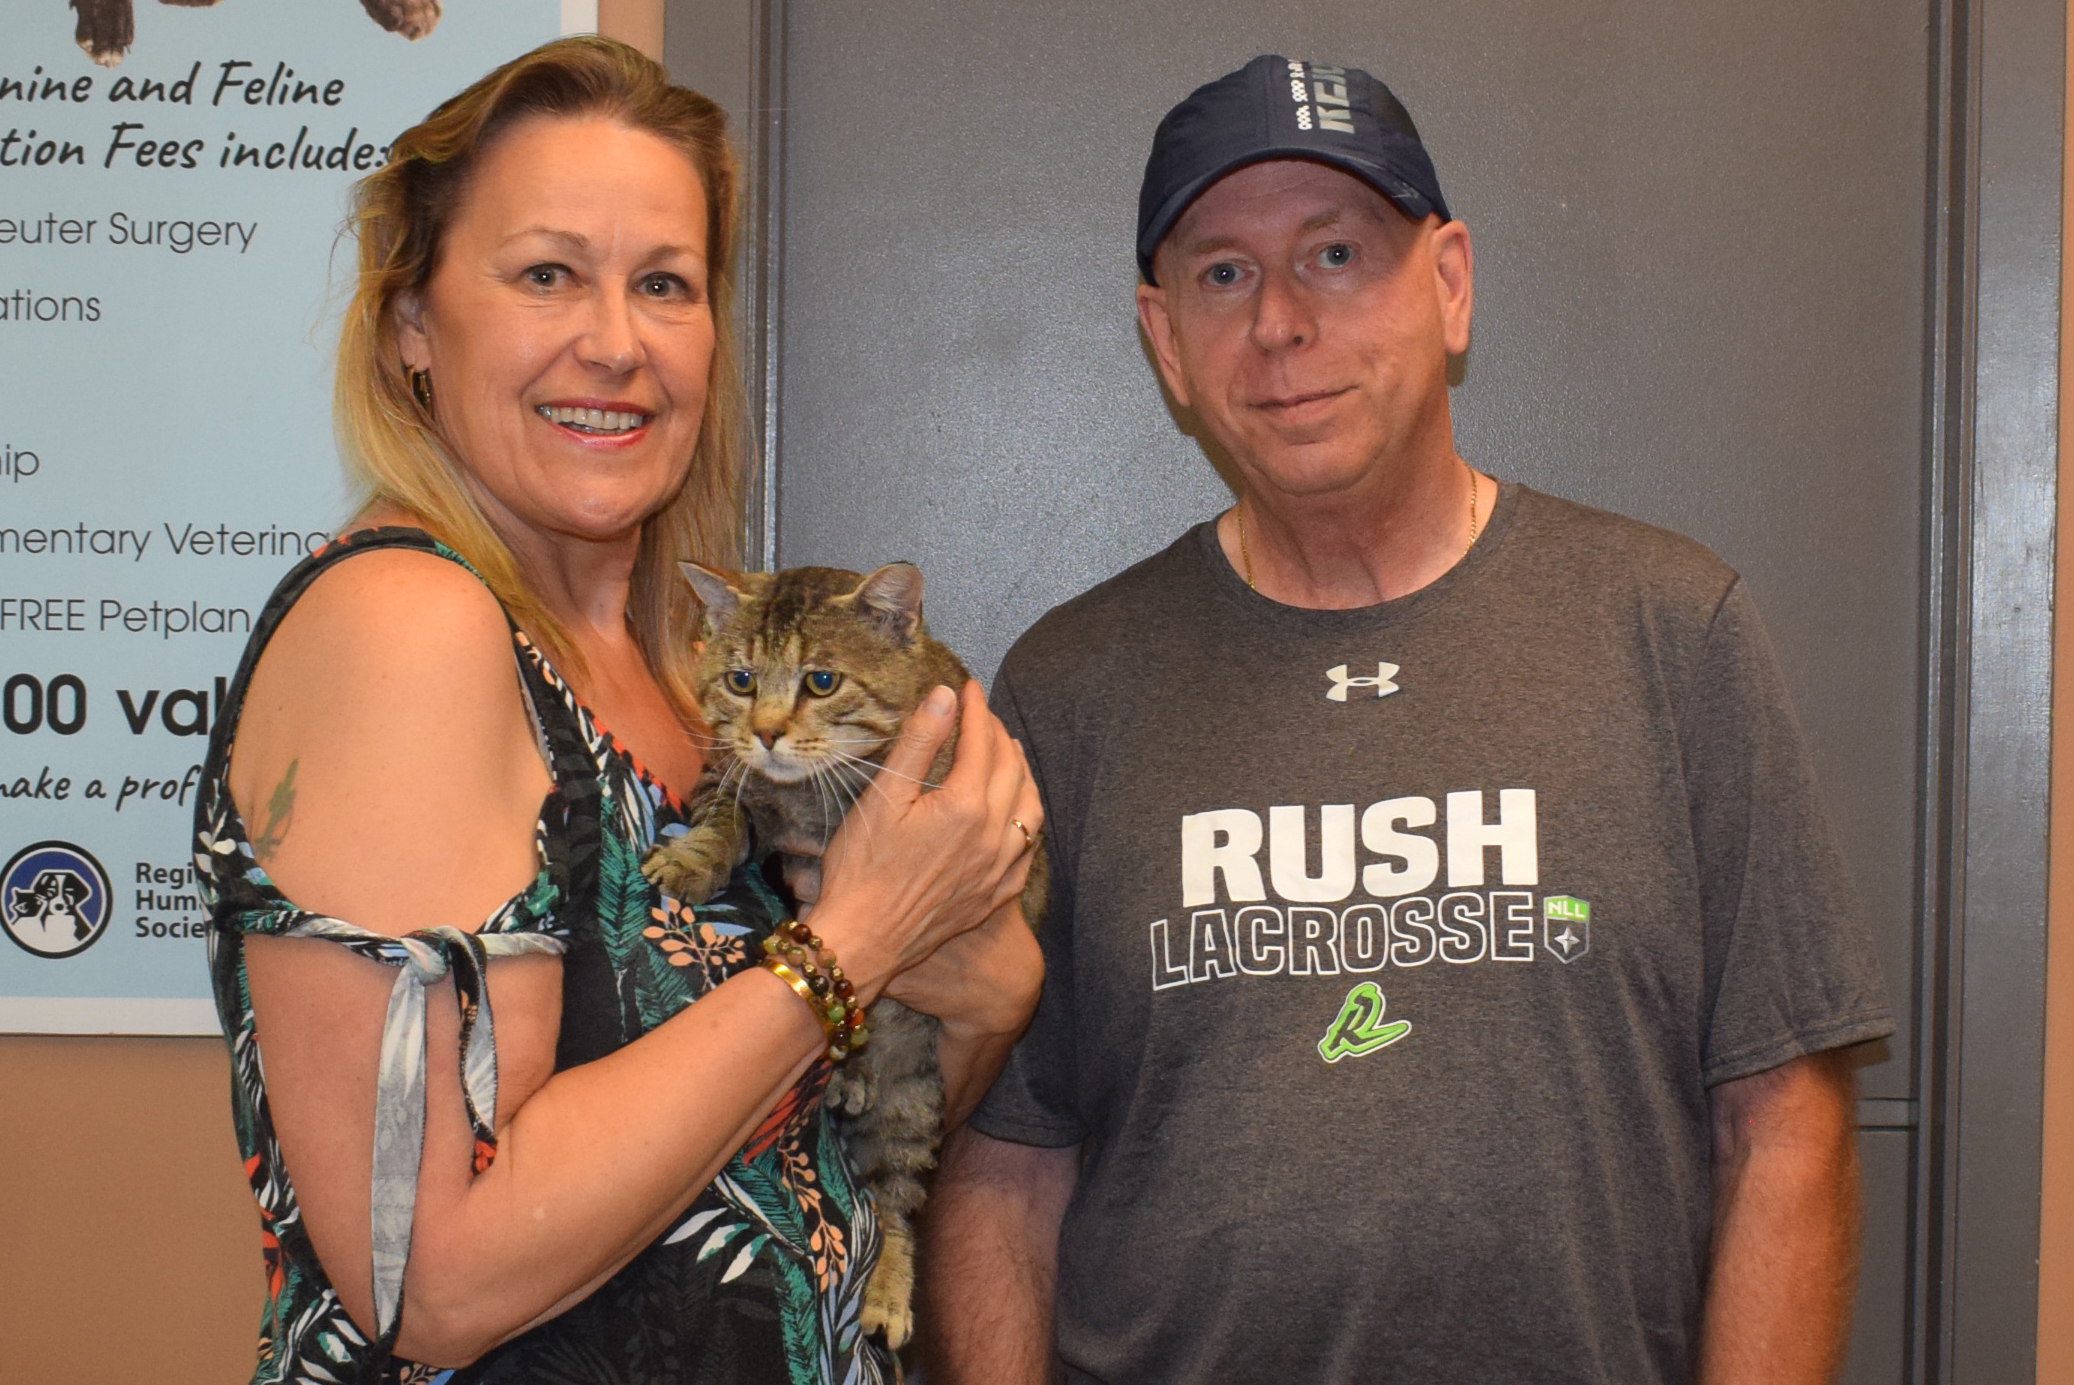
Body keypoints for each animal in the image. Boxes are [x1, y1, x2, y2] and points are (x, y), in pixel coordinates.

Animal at [642, 559, 1047, 1350]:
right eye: (740, 679)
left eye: (821, 681)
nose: (768, 731)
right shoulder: (725, 773)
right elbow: (725, 815)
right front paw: (693, 858)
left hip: (913, 1104)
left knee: (895, 1201)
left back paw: (888, 1281)